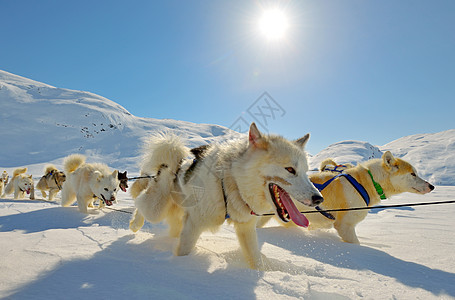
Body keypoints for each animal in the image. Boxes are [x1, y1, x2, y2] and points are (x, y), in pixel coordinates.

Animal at [129, 122, 324, 270]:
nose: (319, 198)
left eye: (306, 172)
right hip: (156, 209)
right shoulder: (193, 226)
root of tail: (175, 161)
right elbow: (183, 251)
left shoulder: (246, 228)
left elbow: (255, 260)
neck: (230, 183)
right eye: (290, 169)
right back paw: (135, 223)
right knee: (140, 203)